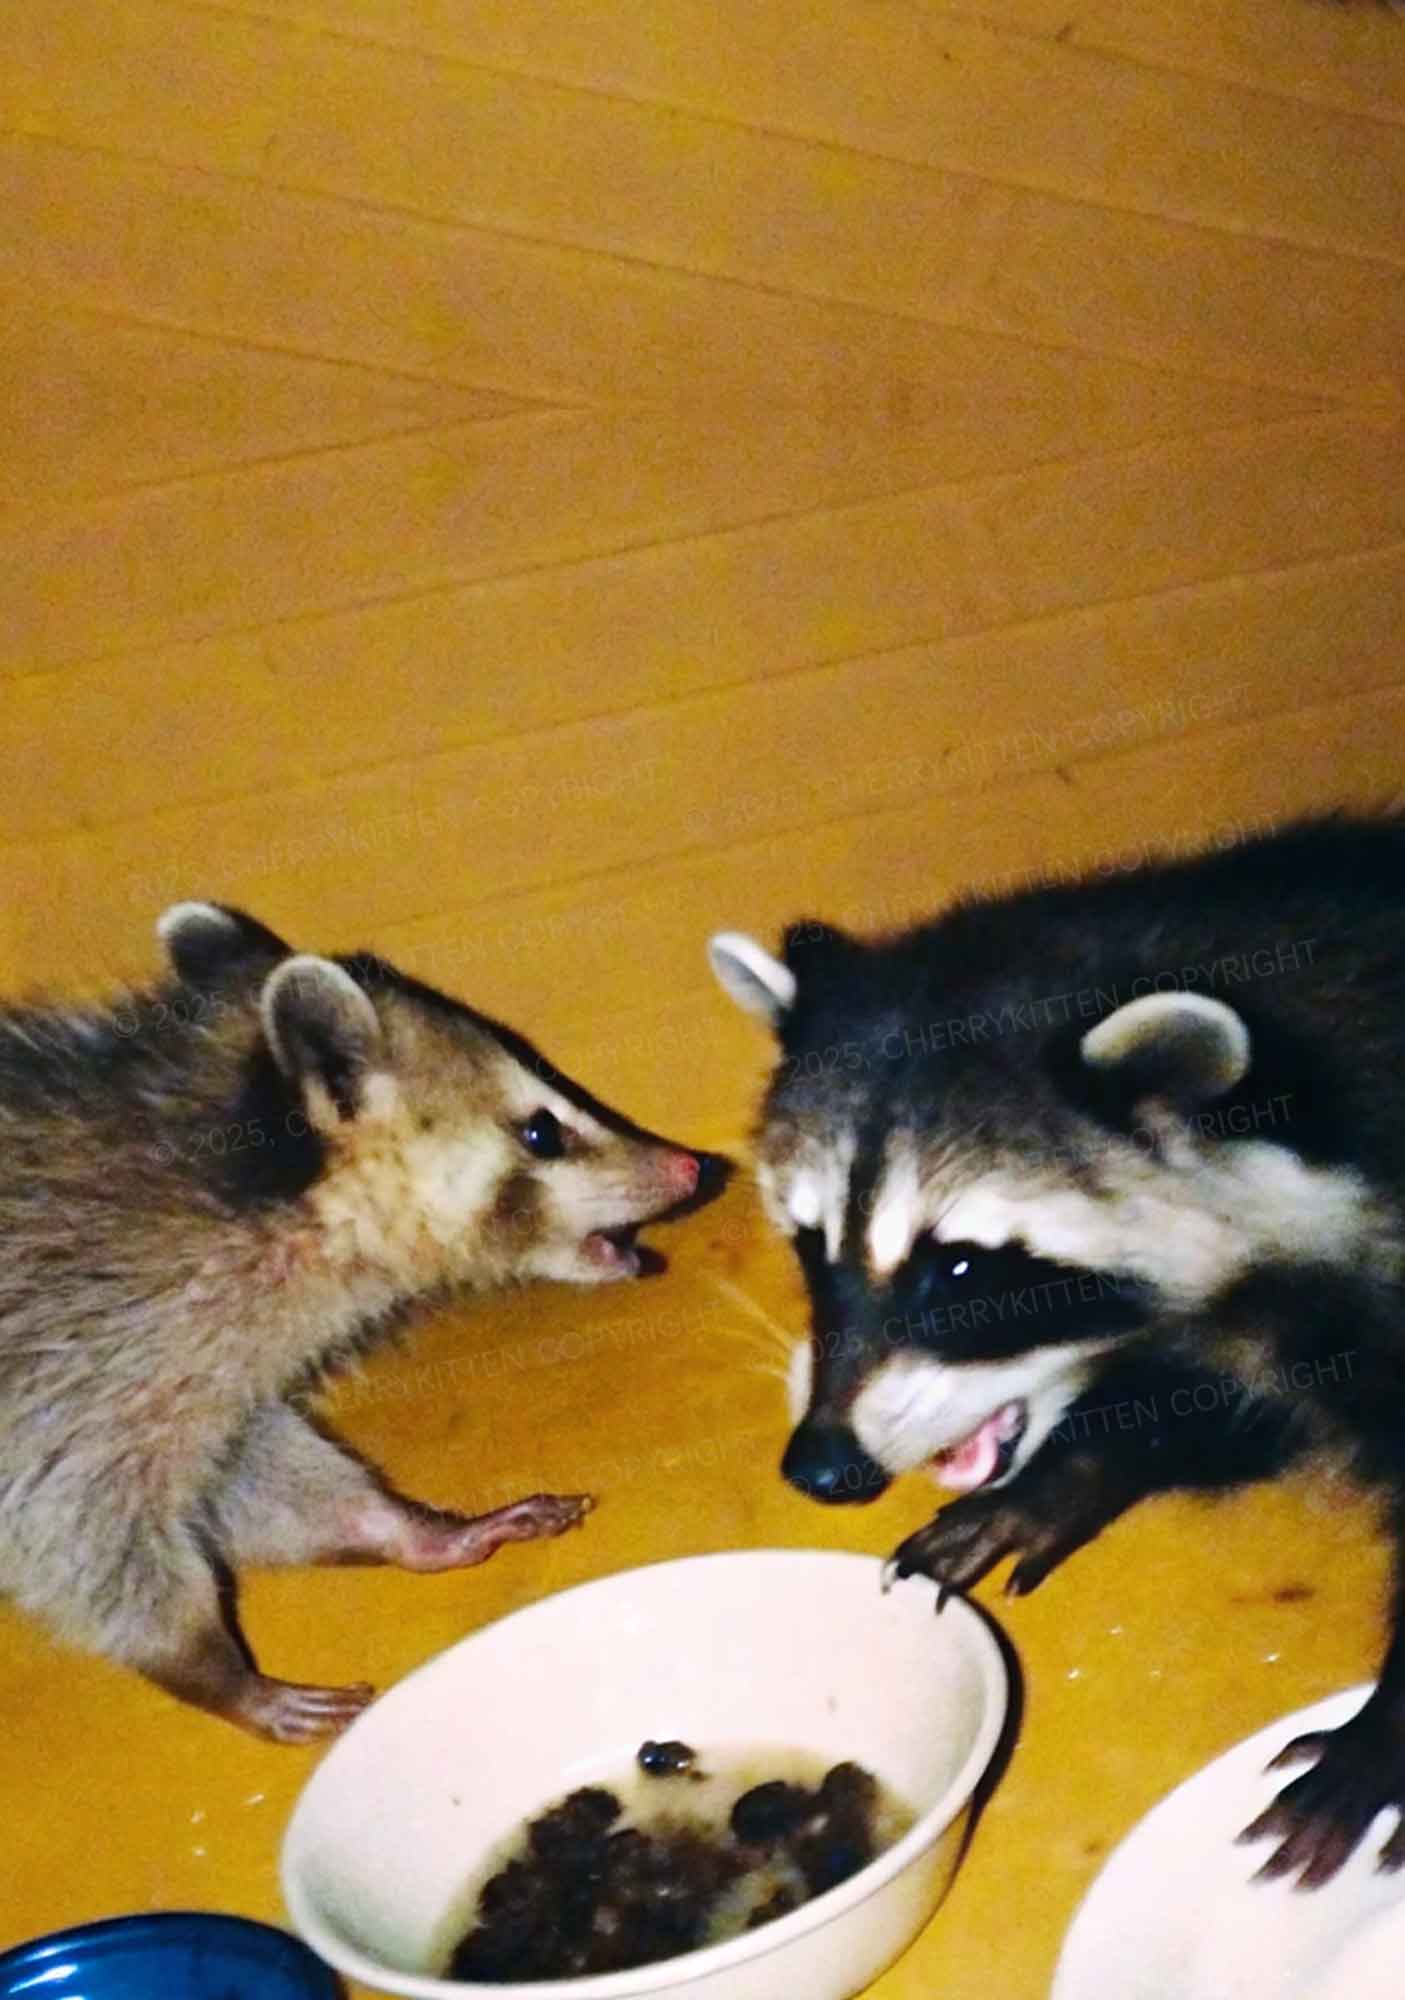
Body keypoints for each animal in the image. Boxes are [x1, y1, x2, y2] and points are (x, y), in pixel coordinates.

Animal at [0, 902, 708, 1742]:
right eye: (542, 1131)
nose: (692, 1166)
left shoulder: (199, 1367)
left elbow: (243, 1466)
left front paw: (404, 1527)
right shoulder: (74, 1362)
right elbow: (74, 1535)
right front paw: (211, 1666)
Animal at [710, 813, 1405, 1888]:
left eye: (957, 1269)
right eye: (810, 1244)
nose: (821, 1467)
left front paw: (1386, 1730)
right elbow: (1216, 1400)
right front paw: (1066, 1477)